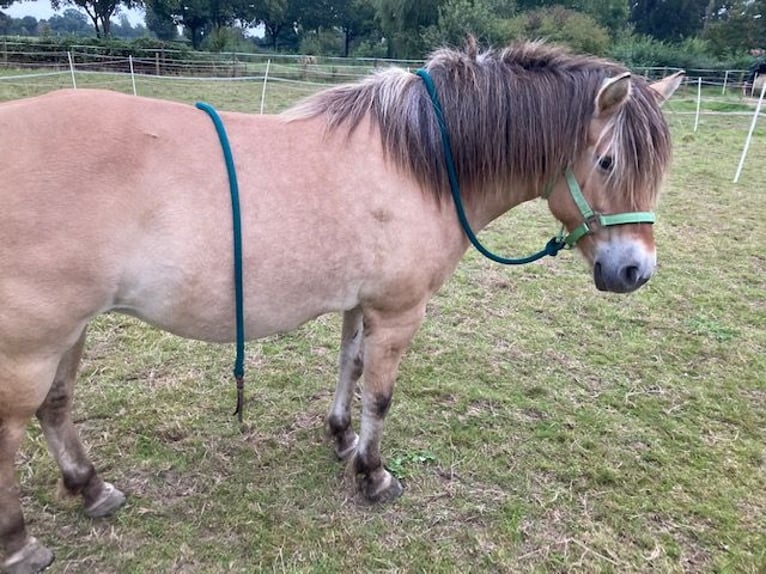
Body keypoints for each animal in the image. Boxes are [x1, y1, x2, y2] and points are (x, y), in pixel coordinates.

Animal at [0, 41, 684, 574]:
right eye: (608, 161)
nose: (634, 271)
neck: (423, 163)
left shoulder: (364, 304)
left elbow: (348, 369)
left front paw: (340, 437)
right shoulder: (400, 312)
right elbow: (379, 396)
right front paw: (373, 475)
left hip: (71, 332)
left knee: (55, 408)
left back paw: (90, 488)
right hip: (33, 344)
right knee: (13, 430)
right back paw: (20, 543)